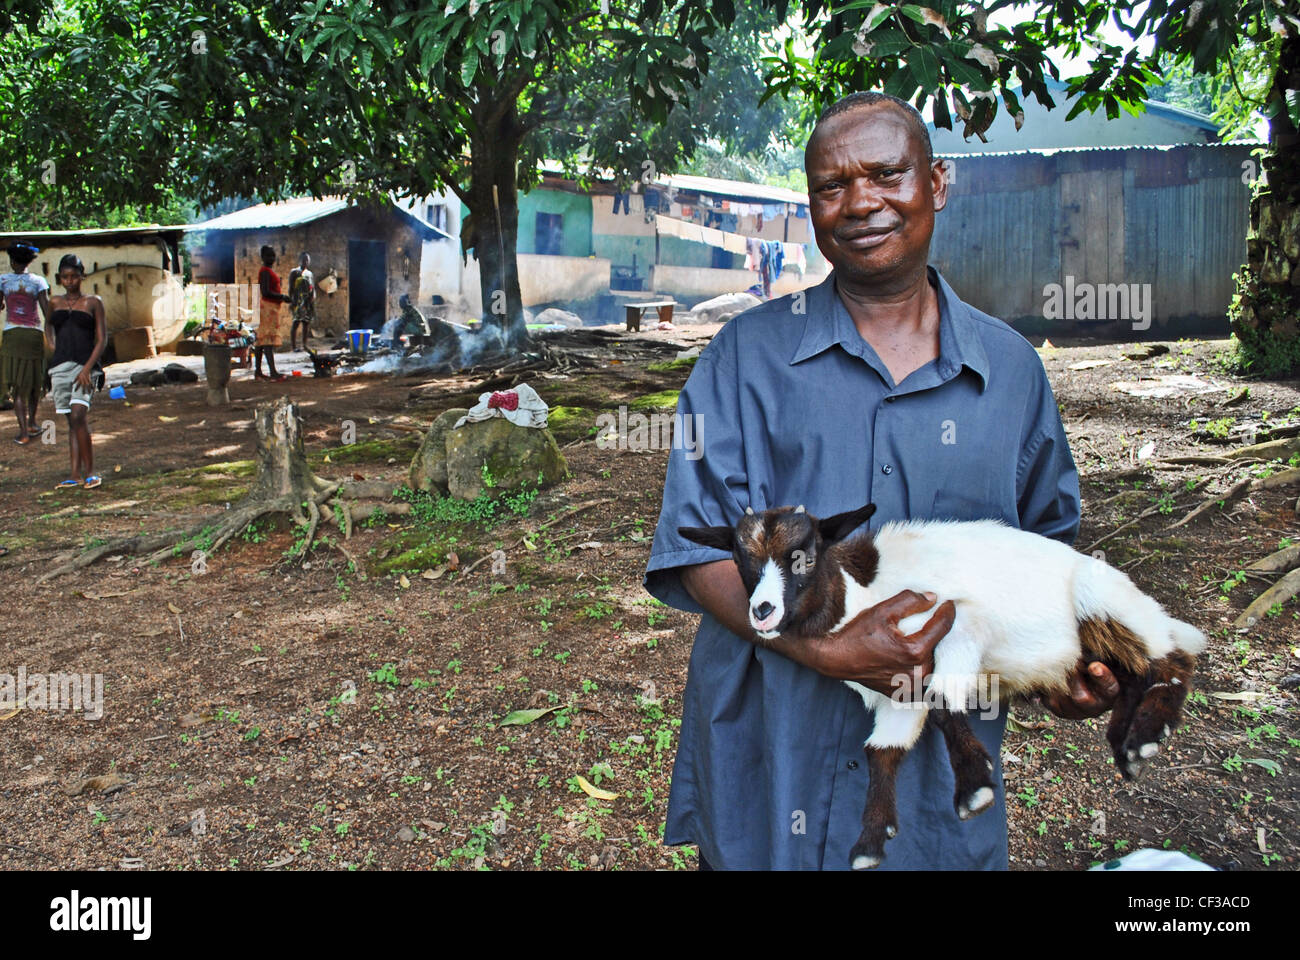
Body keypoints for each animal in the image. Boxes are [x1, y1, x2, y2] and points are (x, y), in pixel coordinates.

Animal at [686, 502, 1201, 868]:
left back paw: (1146, 737)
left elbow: (940, 701)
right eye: (740, 560)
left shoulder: (957, 625)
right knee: (1134, 675)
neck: (863, 595)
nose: (762, 612)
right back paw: (1126, 747)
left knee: (1172, 658)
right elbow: (882, 750)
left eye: (805, 557)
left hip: (1105, 600)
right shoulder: (897, 688)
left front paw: (974, 788)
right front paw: (871, 841)